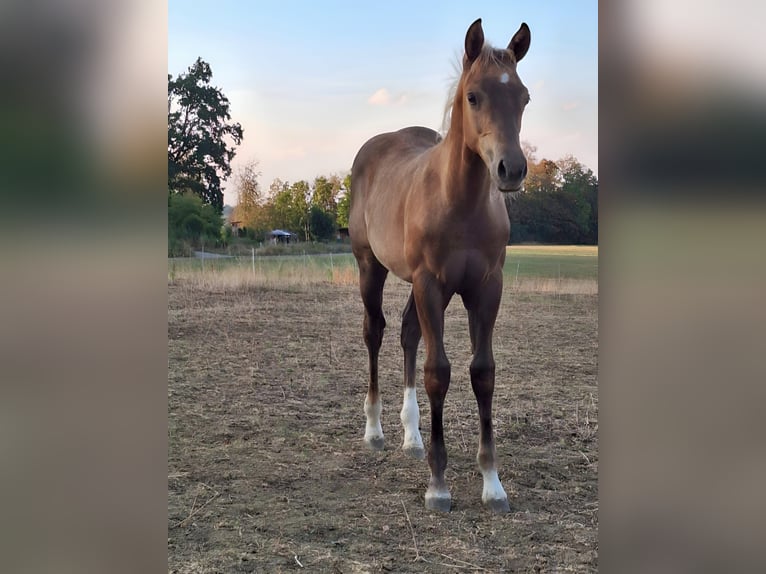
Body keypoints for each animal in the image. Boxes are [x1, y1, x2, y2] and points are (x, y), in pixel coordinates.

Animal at [349, 18, 531, 513]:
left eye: (524, 96)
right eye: (473, 96)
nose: (511, 169)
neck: (461, 202)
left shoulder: (485, 288)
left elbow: (482, 373)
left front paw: (492, 483)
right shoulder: (431, 284)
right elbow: (438, 373)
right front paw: (438, 484)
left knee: (408, 332)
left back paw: (412, 437)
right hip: (371, 266)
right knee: (375, 332)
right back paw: (375, 431)